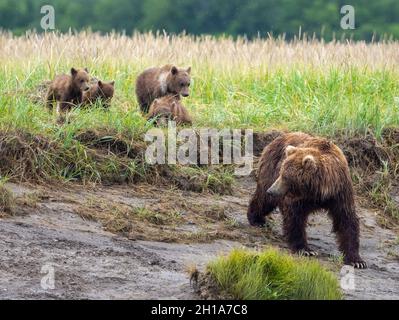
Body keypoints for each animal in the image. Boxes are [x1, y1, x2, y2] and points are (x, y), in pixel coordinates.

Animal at [248, 131, 368, 268]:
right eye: (281, 173)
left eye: (285, 177)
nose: (272, 191)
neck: (320, 191)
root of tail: (275, 139)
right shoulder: (299, 198)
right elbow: (295, 217)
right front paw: (305, 249)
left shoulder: (340, 191)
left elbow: (347, 220)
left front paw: (357, 260)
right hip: (270, 167)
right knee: (263, 199)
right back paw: (257, 219)